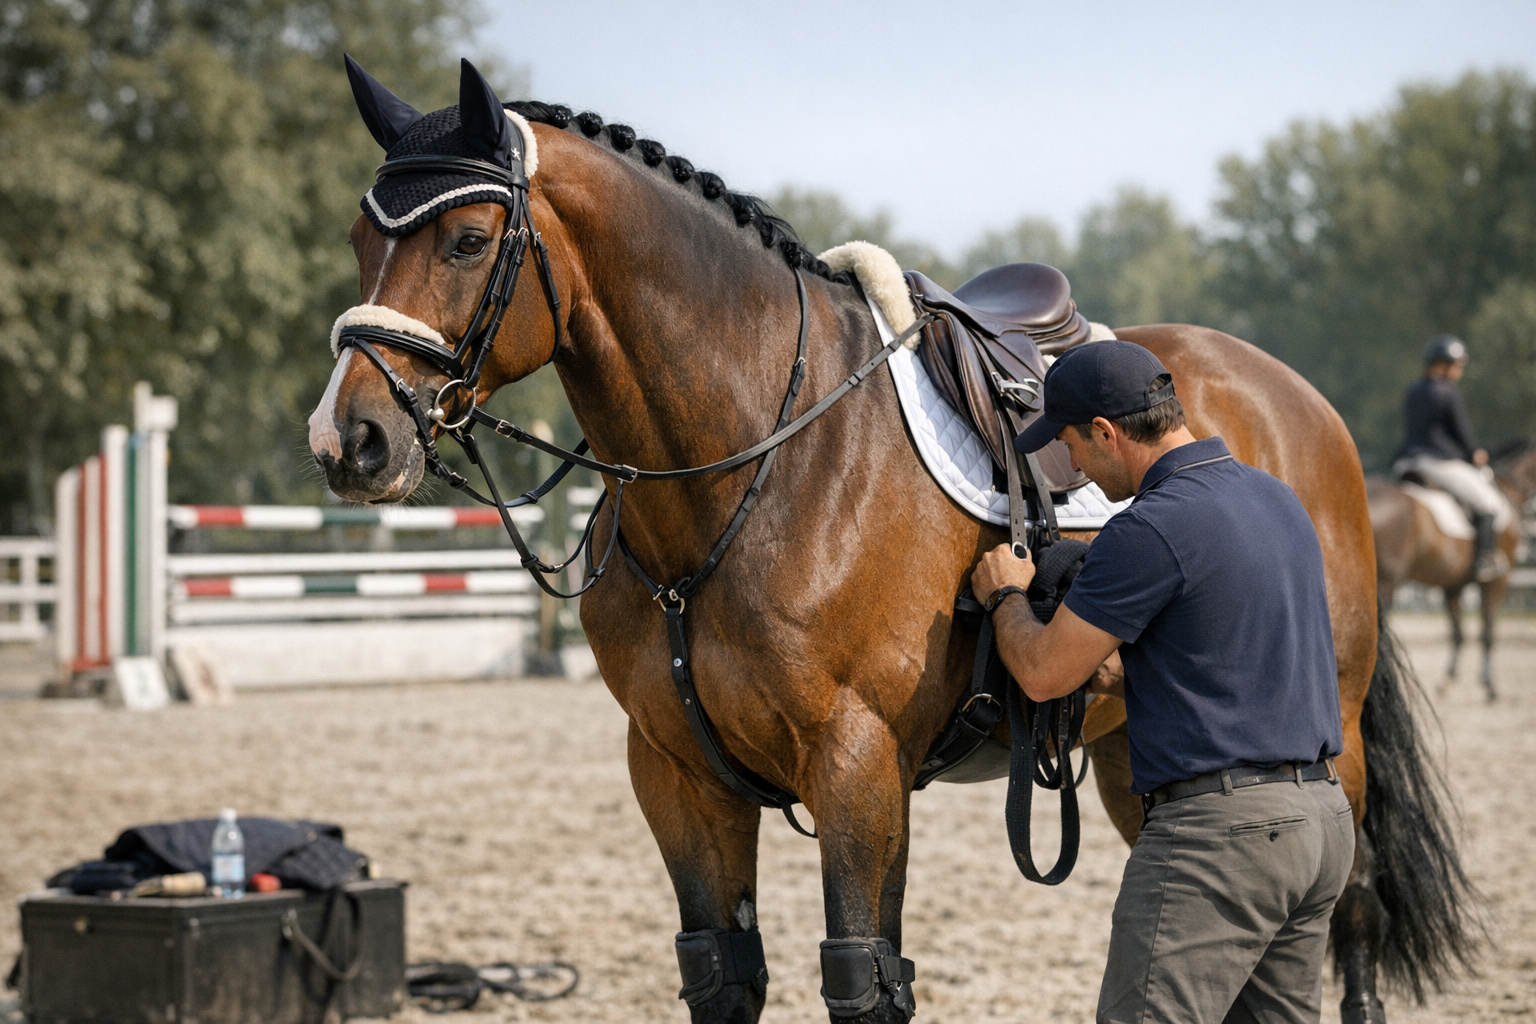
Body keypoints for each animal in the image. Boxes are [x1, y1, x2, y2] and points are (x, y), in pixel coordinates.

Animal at [308, 60, 1476, 1024]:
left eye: (466, 240)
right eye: (361, 242)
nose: (346, 438)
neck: (753, 464)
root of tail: (1292, 396)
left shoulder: (857, 765)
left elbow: (863, 977)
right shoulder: (679, 776)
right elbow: (727, 971)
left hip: (1332, 740)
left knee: (1349, 907)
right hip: (1133, 756)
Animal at [1370, 442, 1535, 700]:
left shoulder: (1453, 586)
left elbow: (1458, 633)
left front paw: (1446, 680)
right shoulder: (1498, 580)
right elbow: (1488, 632)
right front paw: (1490, 686)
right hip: (1387, 583)